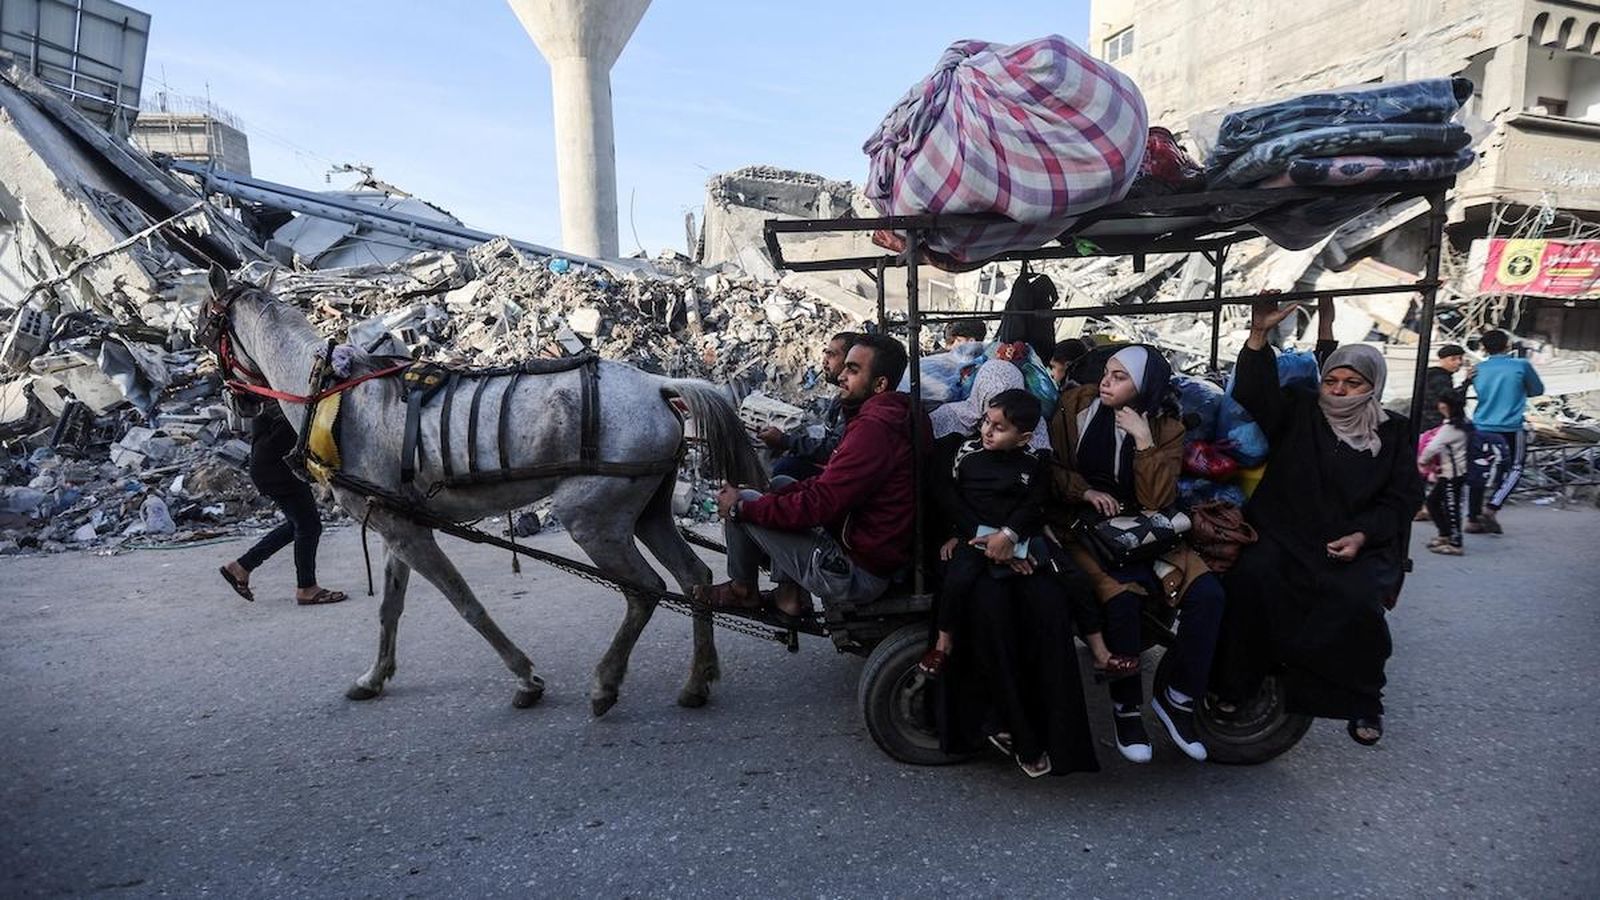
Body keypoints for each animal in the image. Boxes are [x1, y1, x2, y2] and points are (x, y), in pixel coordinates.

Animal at [196, 265, 764, 714]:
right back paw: (697, 681)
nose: (239, 406)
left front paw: (526, 677)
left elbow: (464, 602)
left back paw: (606, 683)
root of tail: (660, 386)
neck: (329, 392)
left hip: (592, 518)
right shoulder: (396, 524)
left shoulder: (407, 531)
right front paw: (374, 678)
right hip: (647, 511)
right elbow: (390, 608)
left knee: (644, 590)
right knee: (694, 578)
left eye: (206, 325)